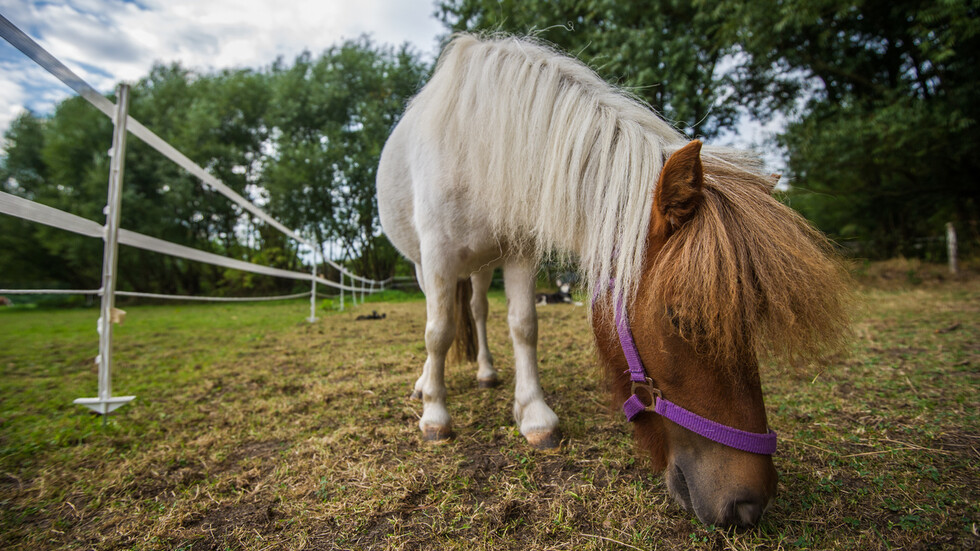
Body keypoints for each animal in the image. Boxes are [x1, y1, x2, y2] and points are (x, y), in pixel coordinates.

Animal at [376, 33, 848, 528]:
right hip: (424, 266)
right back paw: (426, 384)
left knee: (480, 311)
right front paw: (435, 415)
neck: (475, 146)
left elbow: (524, 326)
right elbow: (438, 333)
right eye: (680, 319)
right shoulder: (437, 258)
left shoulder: (519, 252)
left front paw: (534, 416)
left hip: (485, 267)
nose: (750, 504)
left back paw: (486, 372)